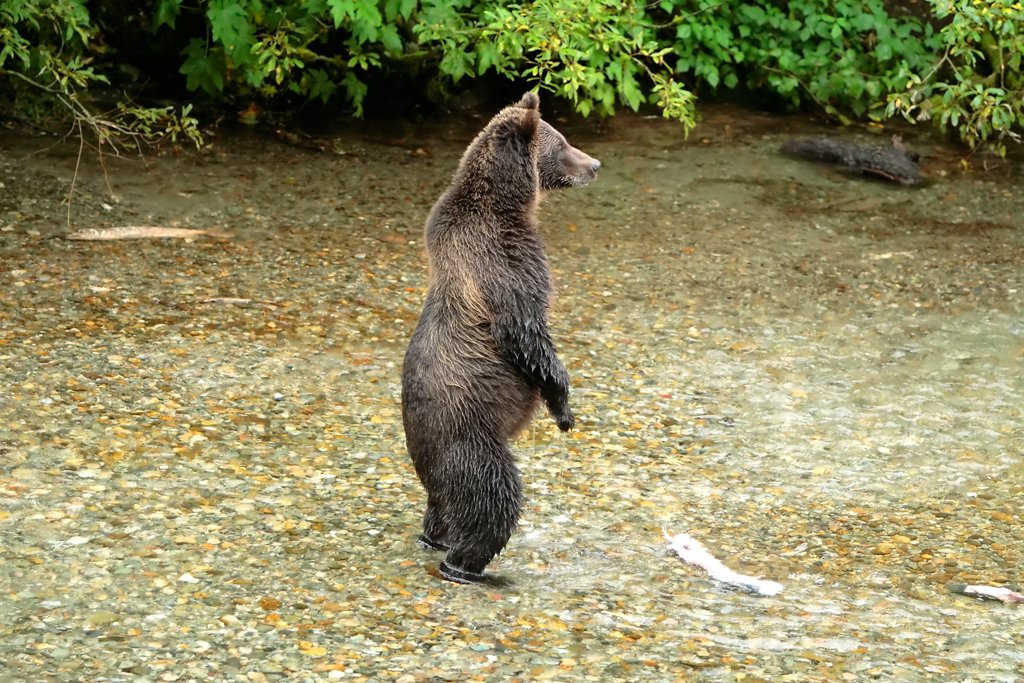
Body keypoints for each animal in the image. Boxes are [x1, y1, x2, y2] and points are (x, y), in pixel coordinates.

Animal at [401, 92, 600, 584]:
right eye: (563, 144)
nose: (595, 164)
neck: (508, 204)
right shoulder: (505, 262)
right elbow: (528, 333)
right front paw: (564, 409)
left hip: (440, 468)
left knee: (443, 510)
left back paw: (437, 539)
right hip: (471, 440)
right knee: (494, 500)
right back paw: (470, 567)